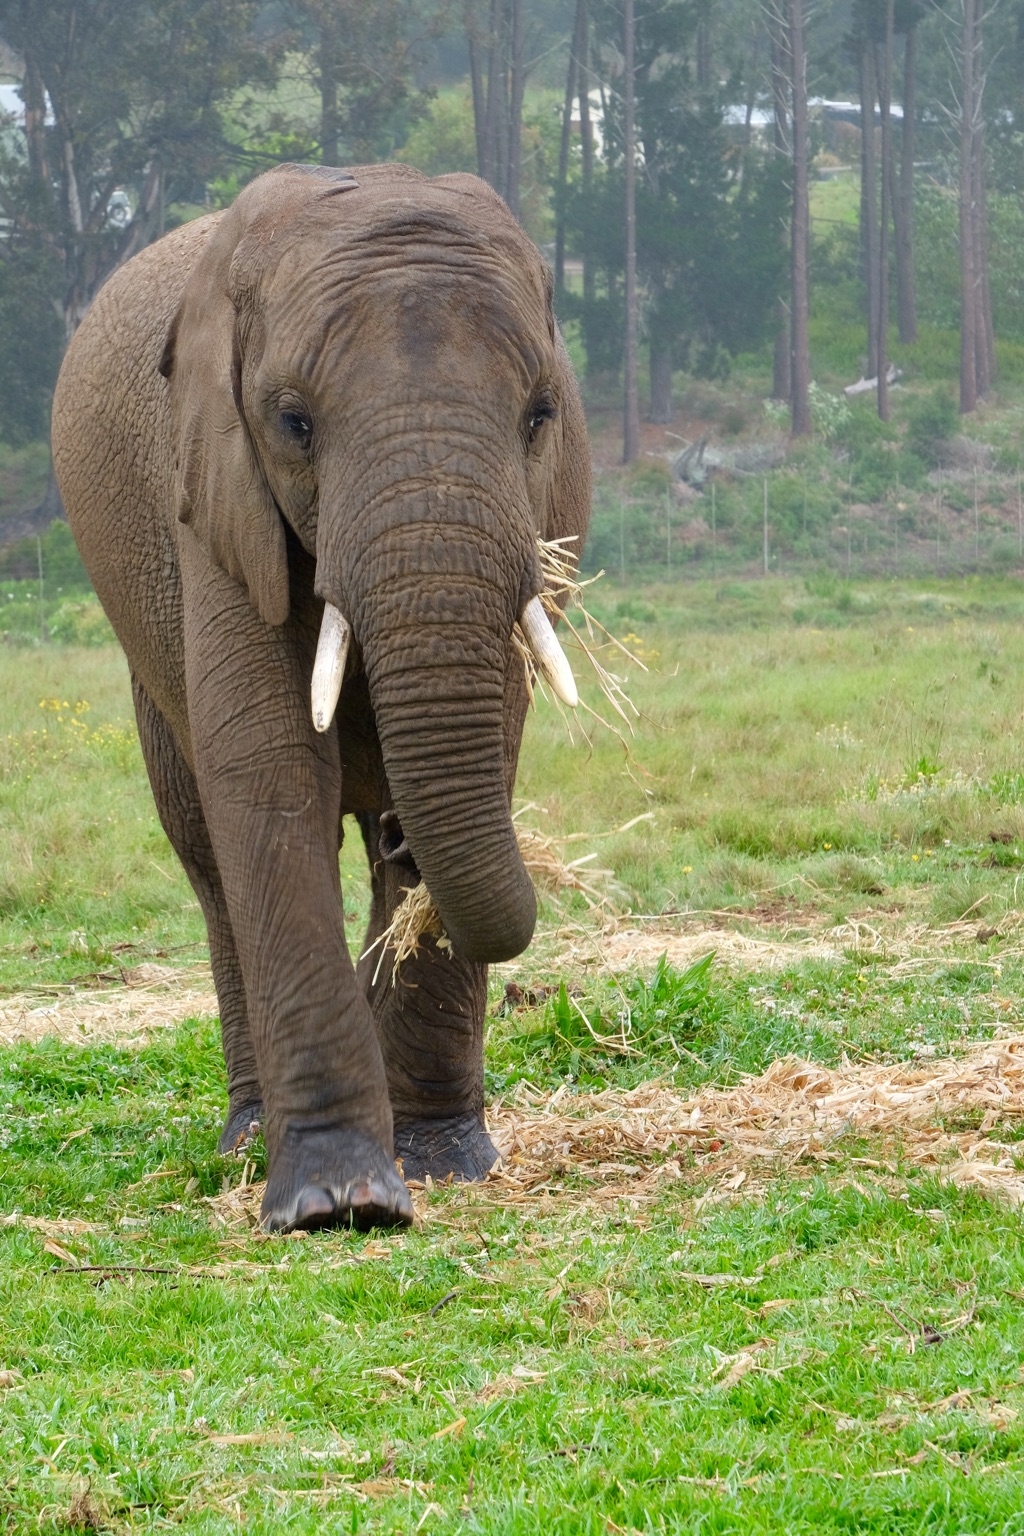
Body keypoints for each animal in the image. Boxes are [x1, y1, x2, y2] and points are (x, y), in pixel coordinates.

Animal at [51, 162, 591, 1233]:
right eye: (294, 422)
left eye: (541, 416)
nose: (394, 829)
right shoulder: (214, 501)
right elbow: (265, 770)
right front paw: (338, 1204)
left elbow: (490, 747)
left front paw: (441, 1164)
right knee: (206, 855)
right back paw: (251, 1135)